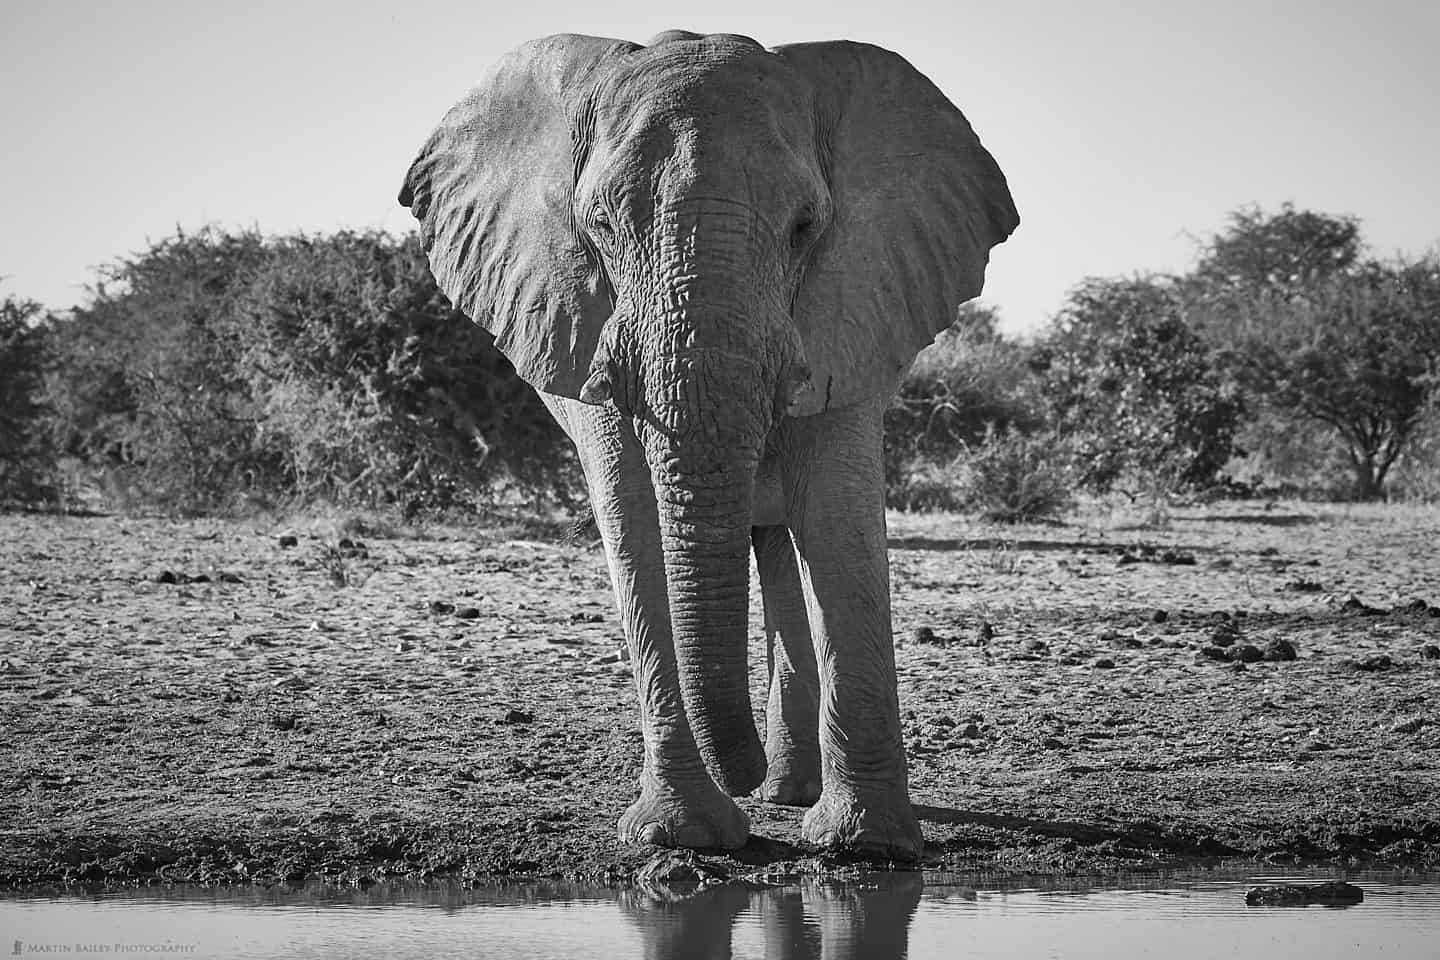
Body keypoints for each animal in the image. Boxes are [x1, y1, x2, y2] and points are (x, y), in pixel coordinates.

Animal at [400, 30, 1019, 857]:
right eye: (598, 227)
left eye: (804, 227)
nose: (741, 772)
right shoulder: (581, 322)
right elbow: (632, 520)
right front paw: (682, 837)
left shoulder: (852, 304)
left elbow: (836, 513)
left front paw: (865, 847)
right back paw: (780, 789)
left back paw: (792, 792)